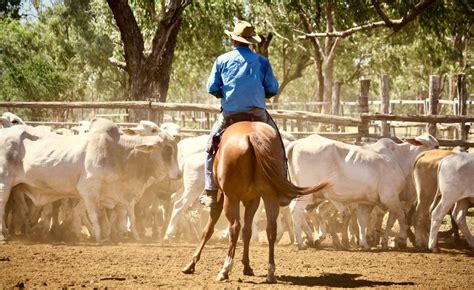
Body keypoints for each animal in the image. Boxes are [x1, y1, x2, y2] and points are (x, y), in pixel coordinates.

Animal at [0, 116, 180, 241]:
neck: (119, 152)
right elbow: (95, 215)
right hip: (4, 184)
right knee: (3, 207)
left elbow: (118, 217)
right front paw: (100, 237)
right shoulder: (88, 190)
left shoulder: (110, 195)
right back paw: (5, 235)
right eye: (168, 150)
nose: (179, 174)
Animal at [180, 120, 328, 284]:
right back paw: (270, 272)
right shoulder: (253, 200)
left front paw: (191, 264)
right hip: (269, 196)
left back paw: (225, 270)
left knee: (235, 227)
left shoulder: (220, 198)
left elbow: (208, 230)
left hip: (230, 198)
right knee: (270, 229)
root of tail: (252, 136)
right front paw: (247, 267)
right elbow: (247, 231)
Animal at [286, 133, 438, 249]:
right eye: (436, 146)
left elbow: (362, 221)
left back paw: (311, 239)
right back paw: (301, 242)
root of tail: (296, 143)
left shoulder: (367, 202)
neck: (399, 158)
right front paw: (400, 239)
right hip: (307, 193)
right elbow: (401, 218)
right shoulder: (390, 197)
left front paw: (364, 243)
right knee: (296, 210)